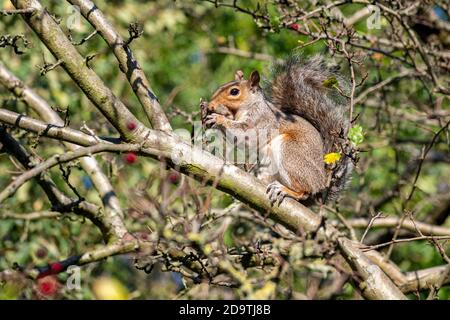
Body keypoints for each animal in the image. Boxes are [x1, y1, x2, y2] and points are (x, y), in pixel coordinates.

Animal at [202, 55, 354, 205]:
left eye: (234, 92)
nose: (210, 105)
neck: (246, 108)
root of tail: (321, 185)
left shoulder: (262, 121)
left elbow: (247, 135)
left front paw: (219, 119)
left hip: (290, 152)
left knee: (304, 192)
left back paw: (285, 190)